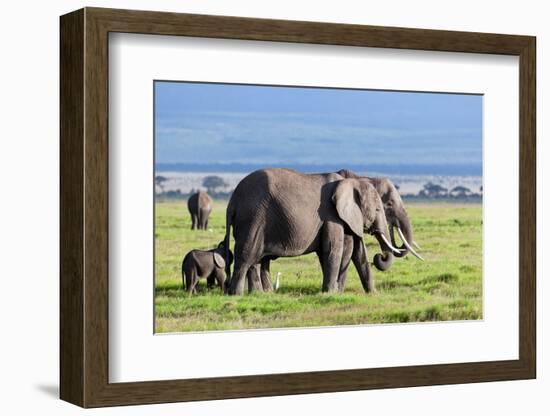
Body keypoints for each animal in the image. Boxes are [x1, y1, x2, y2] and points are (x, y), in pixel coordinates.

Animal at [224, 167, 402, 294]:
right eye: (379, 209)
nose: (379, 257)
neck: (351, 182)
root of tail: (233, 201)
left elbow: (354, 252)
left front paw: (371, 294)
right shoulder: (330, 214)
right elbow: (333, 249)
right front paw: (330, 293)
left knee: (255, 260)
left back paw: (259, 295)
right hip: (253, 218)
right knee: (246, 256)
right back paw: (237, 295)